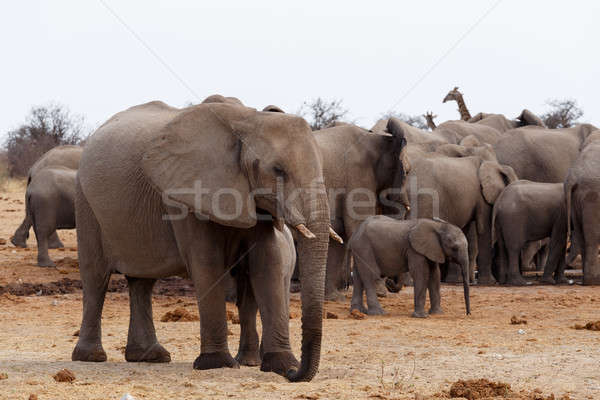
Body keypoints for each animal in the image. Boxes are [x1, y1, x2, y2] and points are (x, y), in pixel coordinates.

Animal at [71, 100, 338, 382]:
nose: (293, 374)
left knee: (142, 281)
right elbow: (207, 263)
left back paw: (150, 356)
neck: (248, 121)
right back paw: (91, 356)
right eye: (278, 170)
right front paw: (217, 363)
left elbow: (268, 263)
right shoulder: (186, 193)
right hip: (85, 202)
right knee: (96, 277)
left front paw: (280, 363)